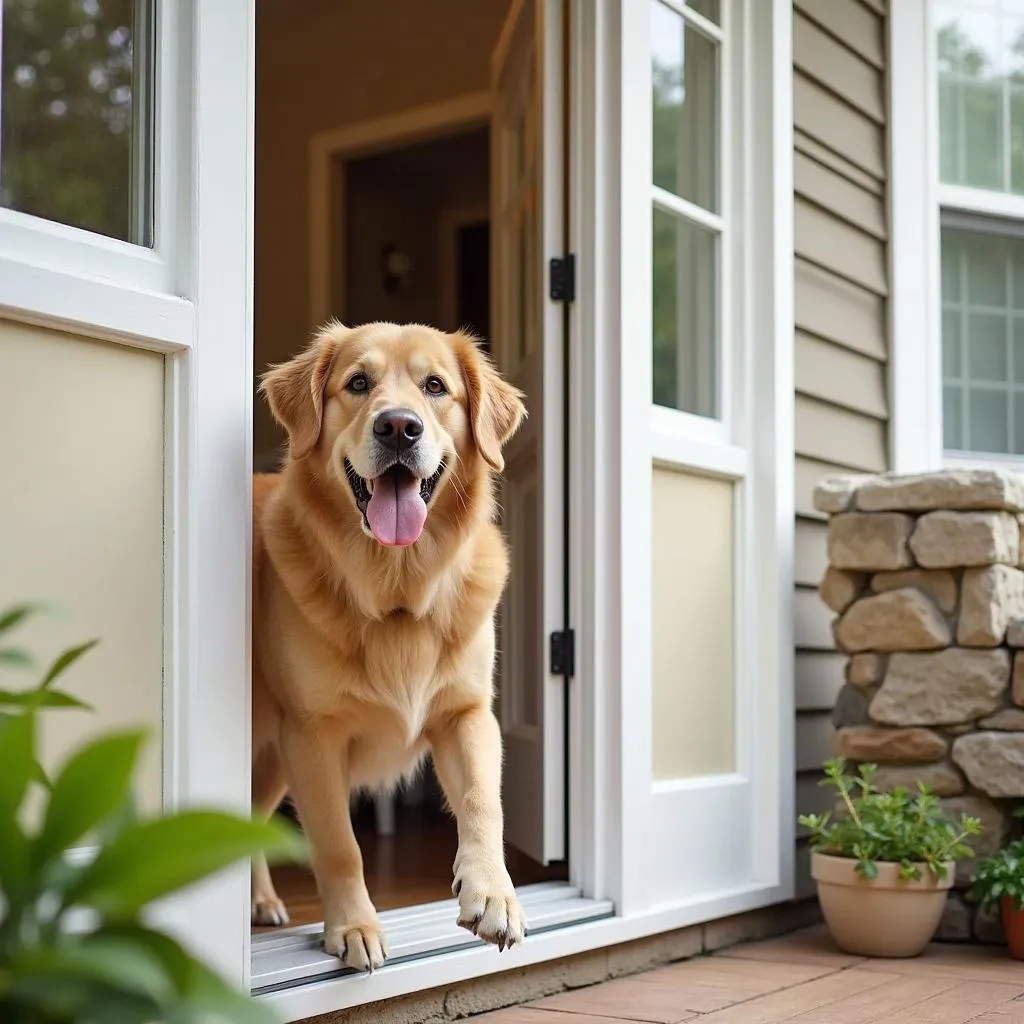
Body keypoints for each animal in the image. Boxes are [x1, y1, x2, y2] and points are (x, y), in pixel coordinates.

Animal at [247, 317, 528, 966]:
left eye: (435, 386)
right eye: (357, 383)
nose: (398, 425)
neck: (398, 594)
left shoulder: (466, 714)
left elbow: (483, 801)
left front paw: (493, 895)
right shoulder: (311, 734)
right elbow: (339, 844)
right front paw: (353, 926)